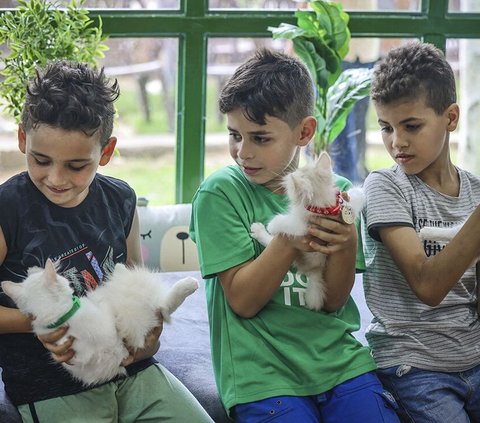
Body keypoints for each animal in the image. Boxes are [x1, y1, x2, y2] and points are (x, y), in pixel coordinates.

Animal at [251, 152, 364, 312]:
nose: (289, 174)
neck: (323, 206)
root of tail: (316, 270)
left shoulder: (302, 226)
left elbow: (286, 223)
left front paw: (272, 225)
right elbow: (354, 199)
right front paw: (354, 193)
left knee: (270, 241)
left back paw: (258, 230)